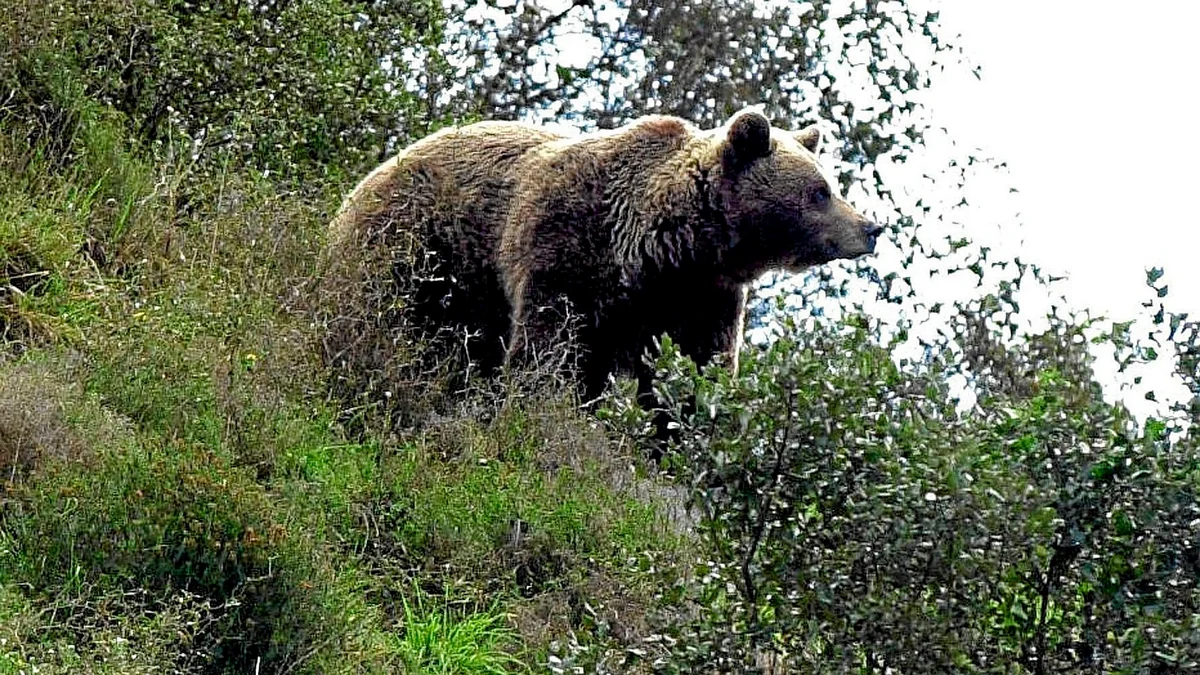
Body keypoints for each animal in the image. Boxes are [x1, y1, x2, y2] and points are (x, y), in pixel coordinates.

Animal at [323, 108, 882, 419]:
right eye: (820, 191)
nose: (870, 228)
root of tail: (363, 182)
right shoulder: (568, 246)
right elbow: (549, 347)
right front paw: (540, 407)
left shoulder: (700, 297)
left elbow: (697, 371)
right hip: (419, 247)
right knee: (387, 316)